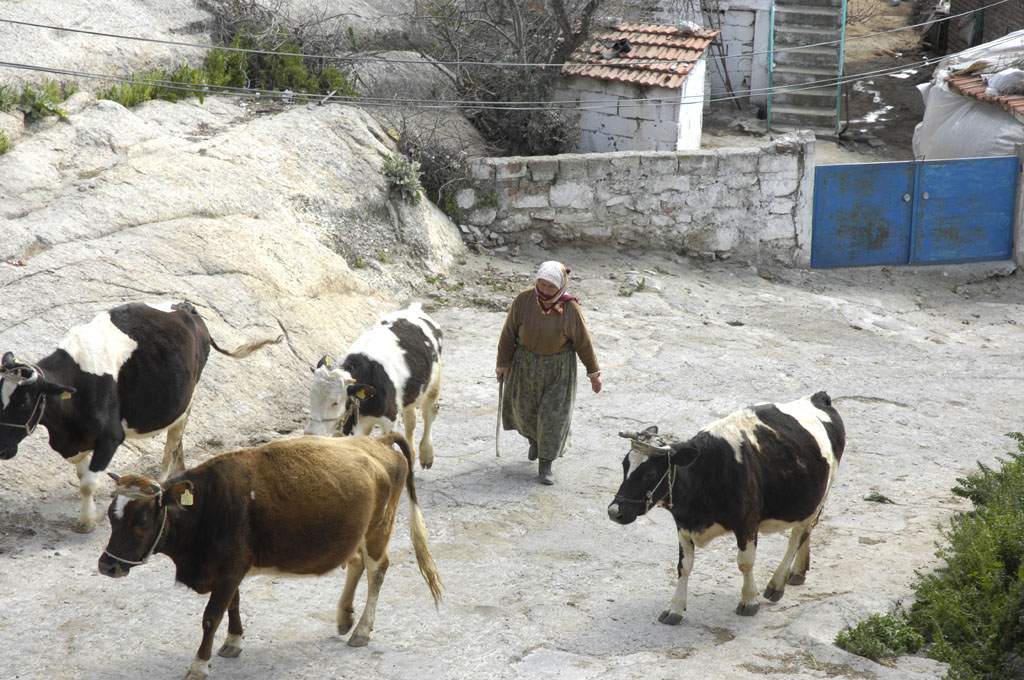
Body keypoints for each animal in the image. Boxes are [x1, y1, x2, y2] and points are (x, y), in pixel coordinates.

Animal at [0, 301, 280, 532]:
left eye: (23, 402)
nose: (3, 450)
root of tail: (185, 307)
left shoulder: (110, 438)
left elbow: (88, 482)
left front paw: (87, 521)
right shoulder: (76, 439)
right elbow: (82, 476)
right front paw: (92, 514)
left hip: (187, 399)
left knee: (172, 442)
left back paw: (161, 483)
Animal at [96, 436, 444, 680]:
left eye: (141, 520)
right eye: (111, 516)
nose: (107, 565)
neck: (207, 505)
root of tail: (379, 440)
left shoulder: (228, 569)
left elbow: (211, 616)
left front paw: (199, 664)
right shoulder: (230, 569)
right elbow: (233, 605)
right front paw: (233, 642)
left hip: (377, 530)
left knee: (378, 570)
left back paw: (361, 630)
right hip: (356, 534)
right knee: (357, 564)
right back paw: (345, 617)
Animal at [303, 305, 440, 471]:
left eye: (335, 402)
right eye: (311, 398)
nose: (311, 433)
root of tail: (413, 309)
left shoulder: (390, 419)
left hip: (434, 384)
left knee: (429, 414)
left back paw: (426, 455)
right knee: (411, 419)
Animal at [602, 393, 843, 622]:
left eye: (650, 473)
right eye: (624, 465)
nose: (615, 512)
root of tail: (818, 397)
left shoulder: (747, 524)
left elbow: (745, 563)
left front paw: (748, 601)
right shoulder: (683, 525)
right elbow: (684, 566)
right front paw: (675, 608)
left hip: (822, 494)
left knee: (798, 536)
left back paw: (777, 584)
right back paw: (798, 571)